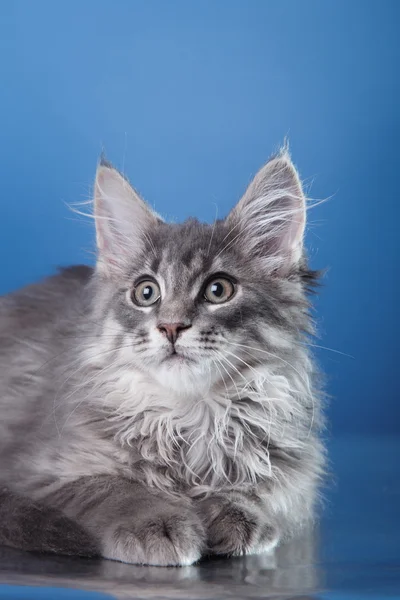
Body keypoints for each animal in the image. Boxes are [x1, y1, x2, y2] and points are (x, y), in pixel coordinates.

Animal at [0, 148, 324, 564]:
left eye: (218, 289)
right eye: (146, 292)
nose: (171, 327)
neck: (189, 416)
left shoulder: (294, 477)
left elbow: (256, 491)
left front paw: (236, 512)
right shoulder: (36, 471)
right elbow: (114, 488)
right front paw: (158, 521)